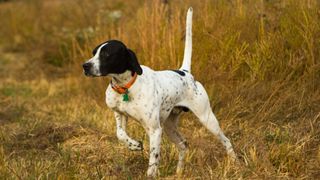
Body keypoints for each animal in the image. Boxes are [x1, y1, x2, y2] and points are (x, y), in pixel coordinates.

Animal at [84, 7, 236, 177]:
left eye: (106, 54)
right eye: (94, 52)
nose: (85, 66)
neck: (126, 87)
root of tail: (185, 72)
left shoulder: (155, 130)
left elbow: (153, 158)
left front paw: (150, 173)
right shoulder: (120, 114)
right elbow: (120, 134)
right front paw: (134, 145)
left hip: (207, 119)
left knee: (226, 140)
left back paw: (235, 163)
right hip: (169, 126)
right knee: (183, 145)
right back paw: (179, 172)